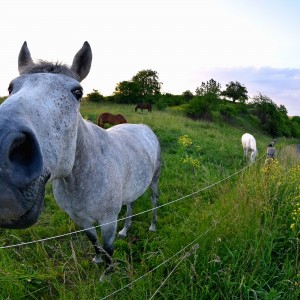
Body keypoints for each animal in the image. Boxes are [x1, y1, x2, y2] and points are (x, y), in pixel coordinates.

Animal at [0, 42, 161, 276]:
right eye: (11, 87)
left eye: (78, 92)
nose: (3, 148)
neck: (82, 177)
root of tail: (144, 127)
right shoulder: (80, 219)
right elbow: (94, 241)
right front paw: (97, 260)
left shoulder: (108, 221)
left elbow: (108, 248)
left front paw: (107, 274)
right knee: (131, 205)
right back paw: (125, 231)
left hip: (155, 181)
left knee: (155, 203)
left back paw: (153, 226)